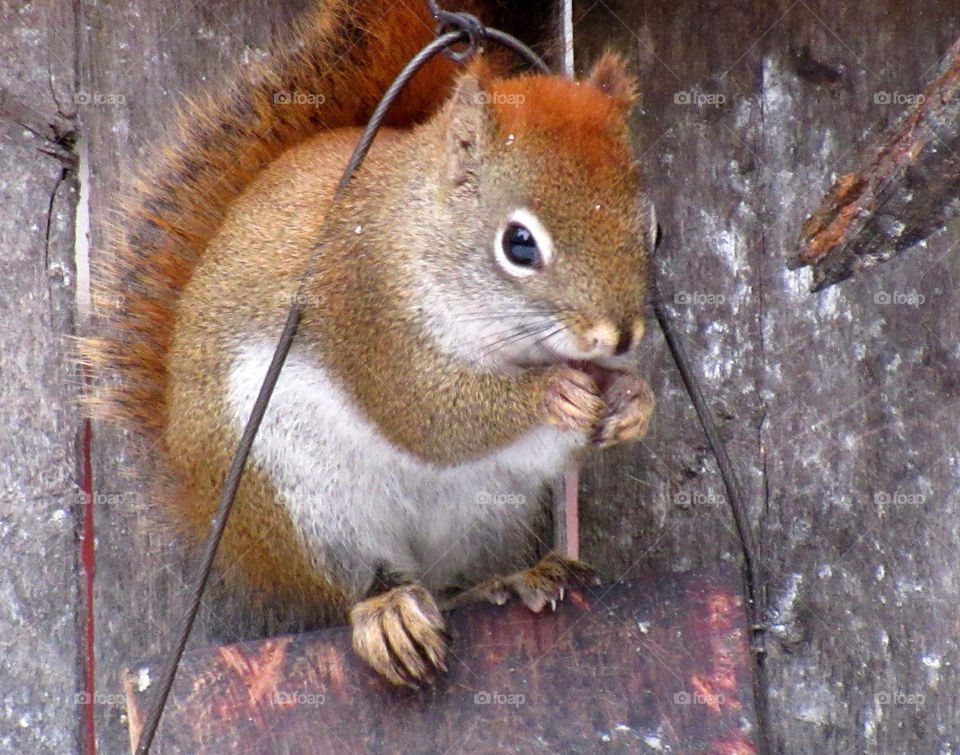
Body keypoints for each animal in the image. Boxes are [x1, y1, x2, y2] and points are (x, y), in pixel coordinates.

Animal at [84, 1, 652, 684]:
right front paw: (554, 393)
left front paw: (633, 401)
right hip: (300, 499)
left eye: (650, 229)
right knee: (355, 582)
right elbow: (424, 415)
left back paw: (514, 579)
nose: (618, 334)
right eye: (519, 245)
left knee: (456, 582)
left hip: (496, 509)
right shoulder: (364, 304)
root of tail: (204, 499)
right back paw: (388, 613)